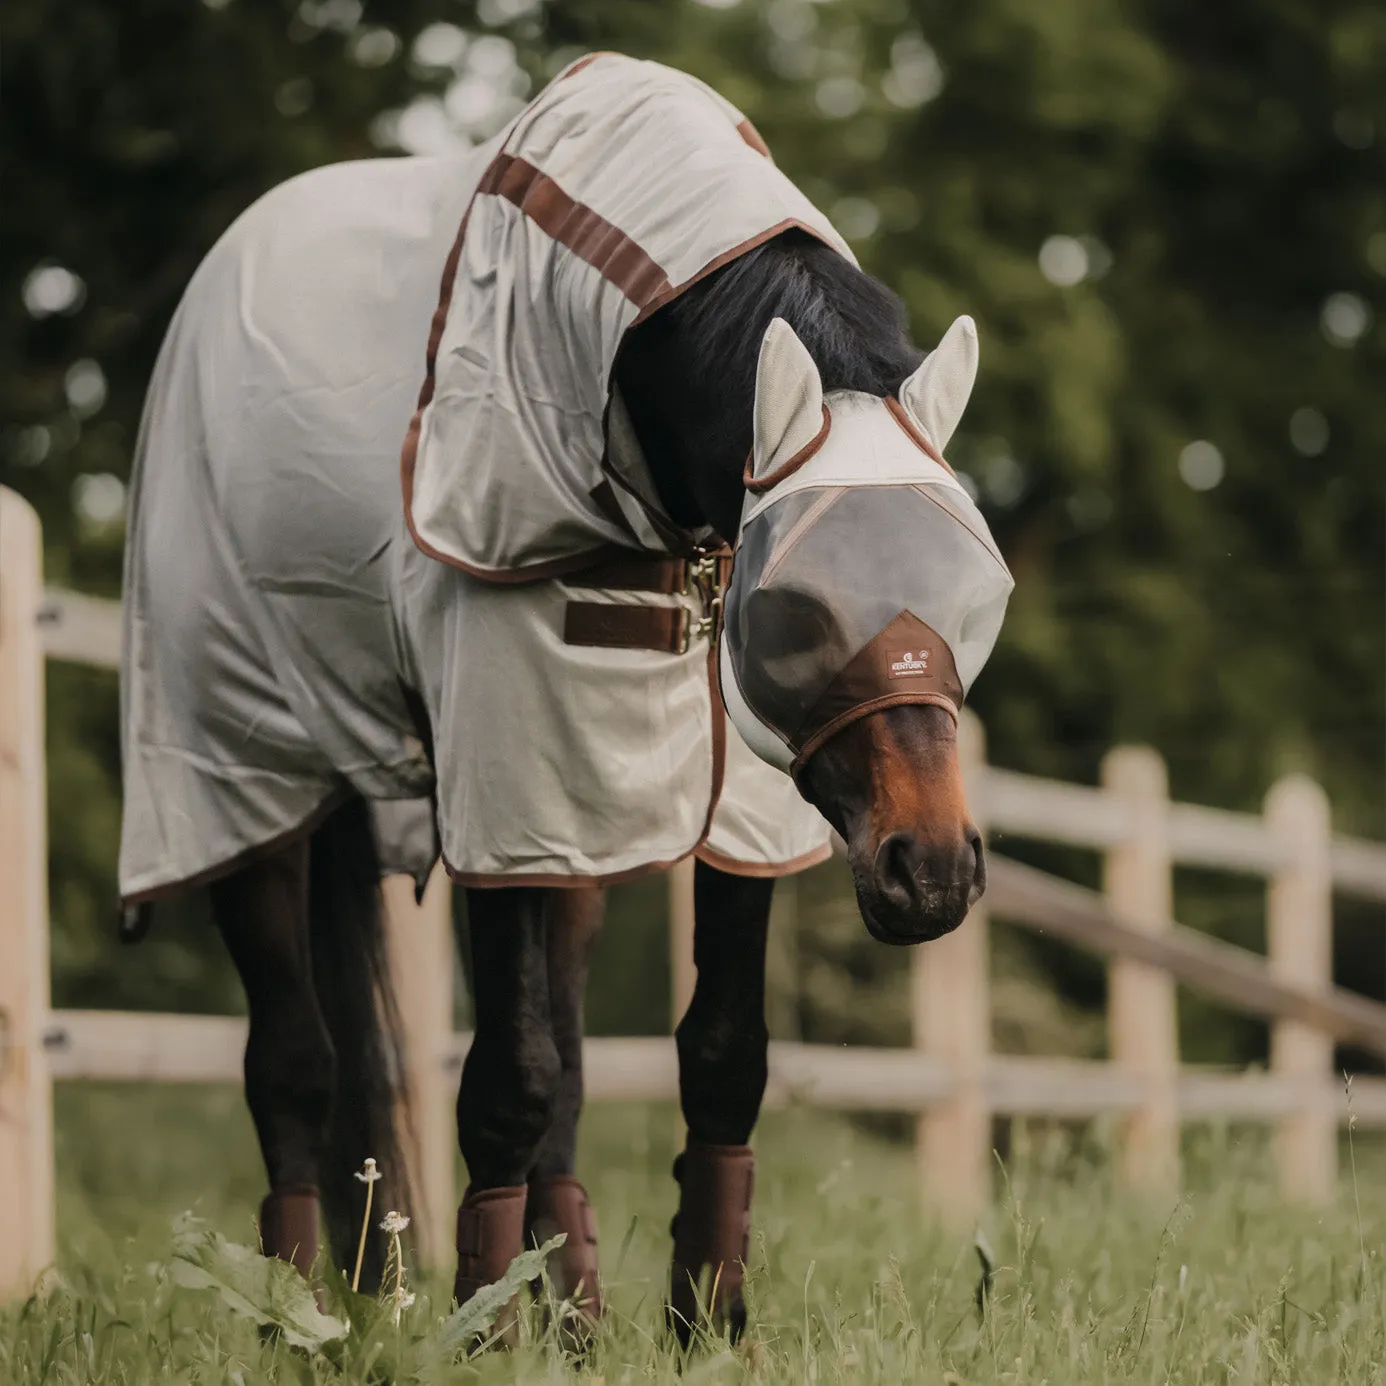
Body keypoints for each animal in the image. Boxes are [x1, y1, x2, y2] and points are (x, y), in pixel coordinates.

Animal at [119, 54, 1009, 1341]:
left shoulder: (727, 801)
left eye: (976, 585)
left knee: (566, 1067)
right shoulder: (505, 779)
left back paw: (572, 1313)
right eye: (795, 604)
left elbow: (717, 1053)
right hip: (241, 773)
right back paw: (304, 1317)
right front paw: (483, 1328)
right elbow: (506, 1080)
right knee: (291, 1063)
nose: (930, 868)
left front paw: (705, 1324)